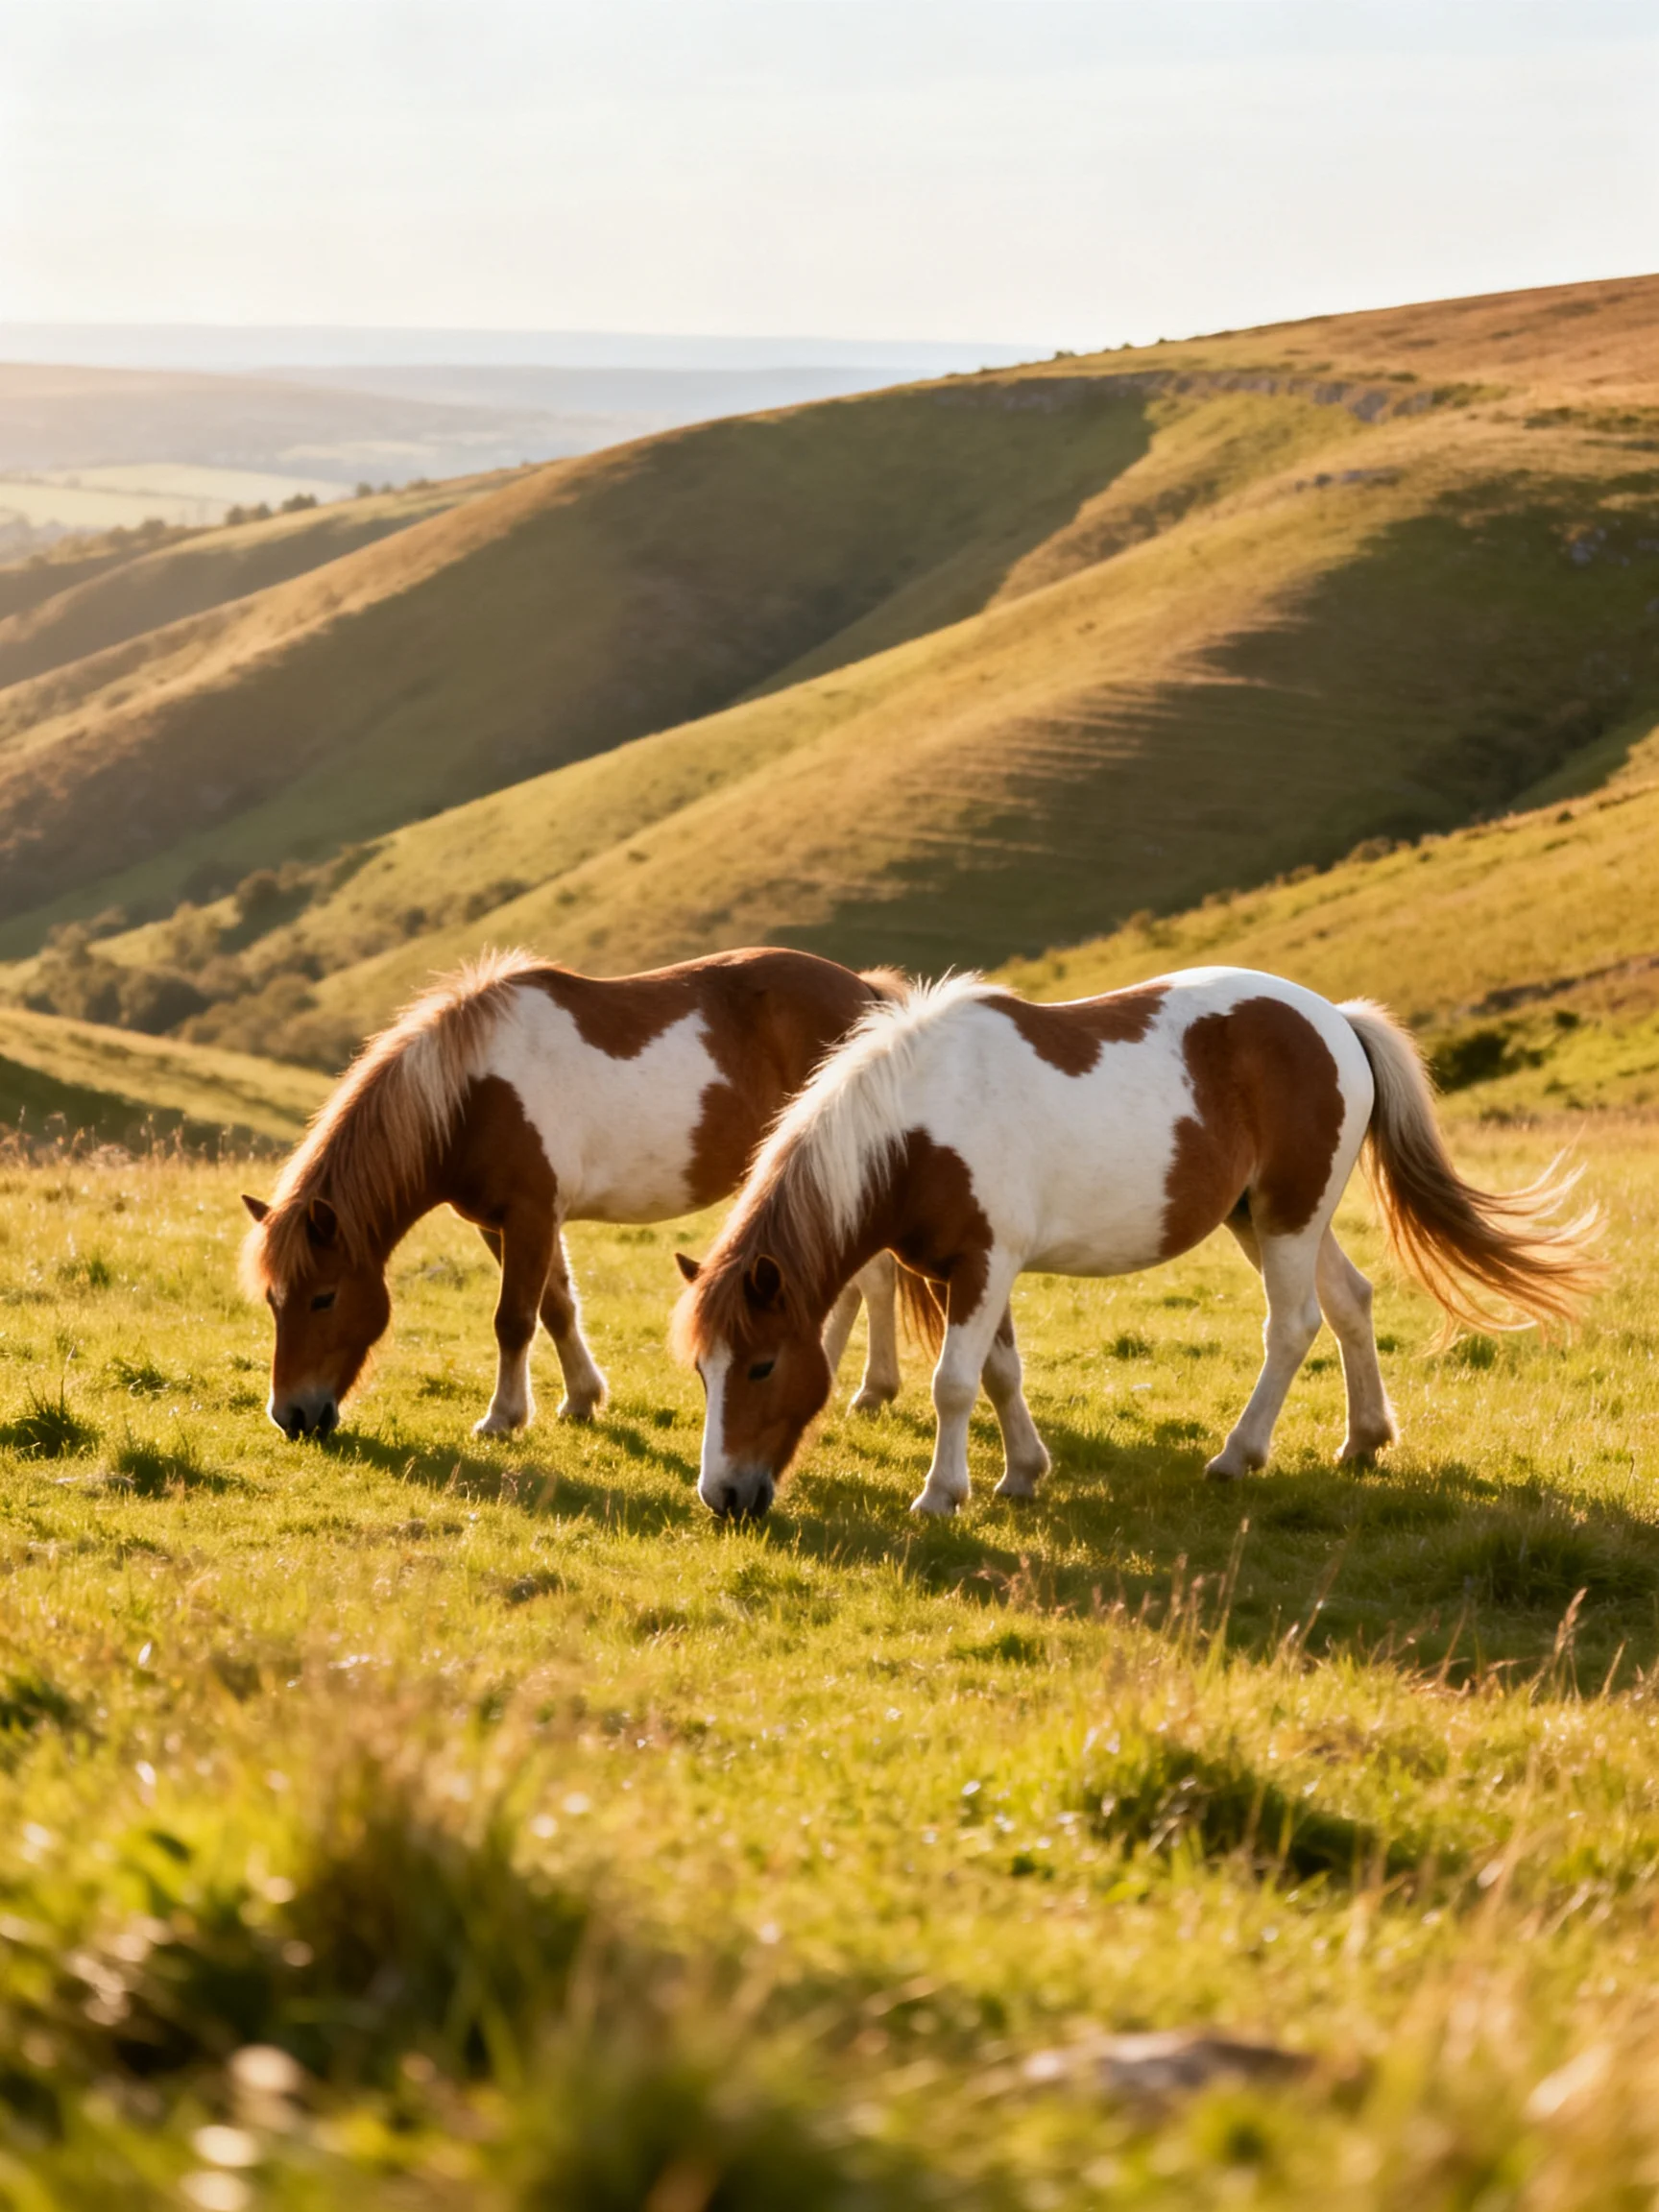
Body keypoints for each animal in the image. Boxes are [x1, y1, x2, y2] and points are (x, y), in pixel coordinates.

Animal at [240, 947, 907, 1440]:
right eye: (273, 1300)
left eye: (323, 1297)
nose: (292, 1416)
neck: (471, 1094)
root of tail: (865, 993)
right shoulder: (507, 1222)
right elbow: (556, 1306)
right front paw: (582, 1399)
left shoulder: (530, 1216)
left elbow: (514, 1320)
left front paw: (502, 1418)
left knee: (875, 1281)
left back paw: (871, 1390)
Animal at [671, 968, 1601, 1520]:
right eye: (703, 1370)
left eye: (762, 1365)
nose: (724, 1495)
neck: (917, 1127)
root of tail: (1333, 1018)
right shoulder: (961, 1270)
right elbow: (1002, 1374)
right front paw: (1023, 1471)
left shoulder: (983, 1263)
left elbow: (954, 1385)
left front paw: (942, 1493)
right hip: (1265, 1216)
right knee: (1350, 1303)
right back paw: (1365, 1438)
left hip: (1289, 1217)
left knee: (1293, 1326)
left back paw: (1238, 1455)